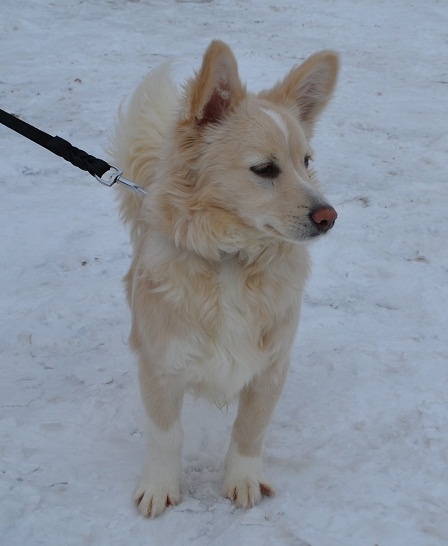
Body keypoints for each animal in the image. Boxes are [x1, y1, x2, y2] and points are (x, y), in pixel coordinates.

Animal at [111, 40, 339, 517]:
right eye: (265, 169)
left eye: (306, 162)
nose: (329, 217)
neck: (233, 259)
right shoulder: (160, 365)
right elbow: (166, 434)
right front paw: (160, 486)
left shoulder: (271, 366)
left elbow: (250, 428)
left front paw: (244, 480)